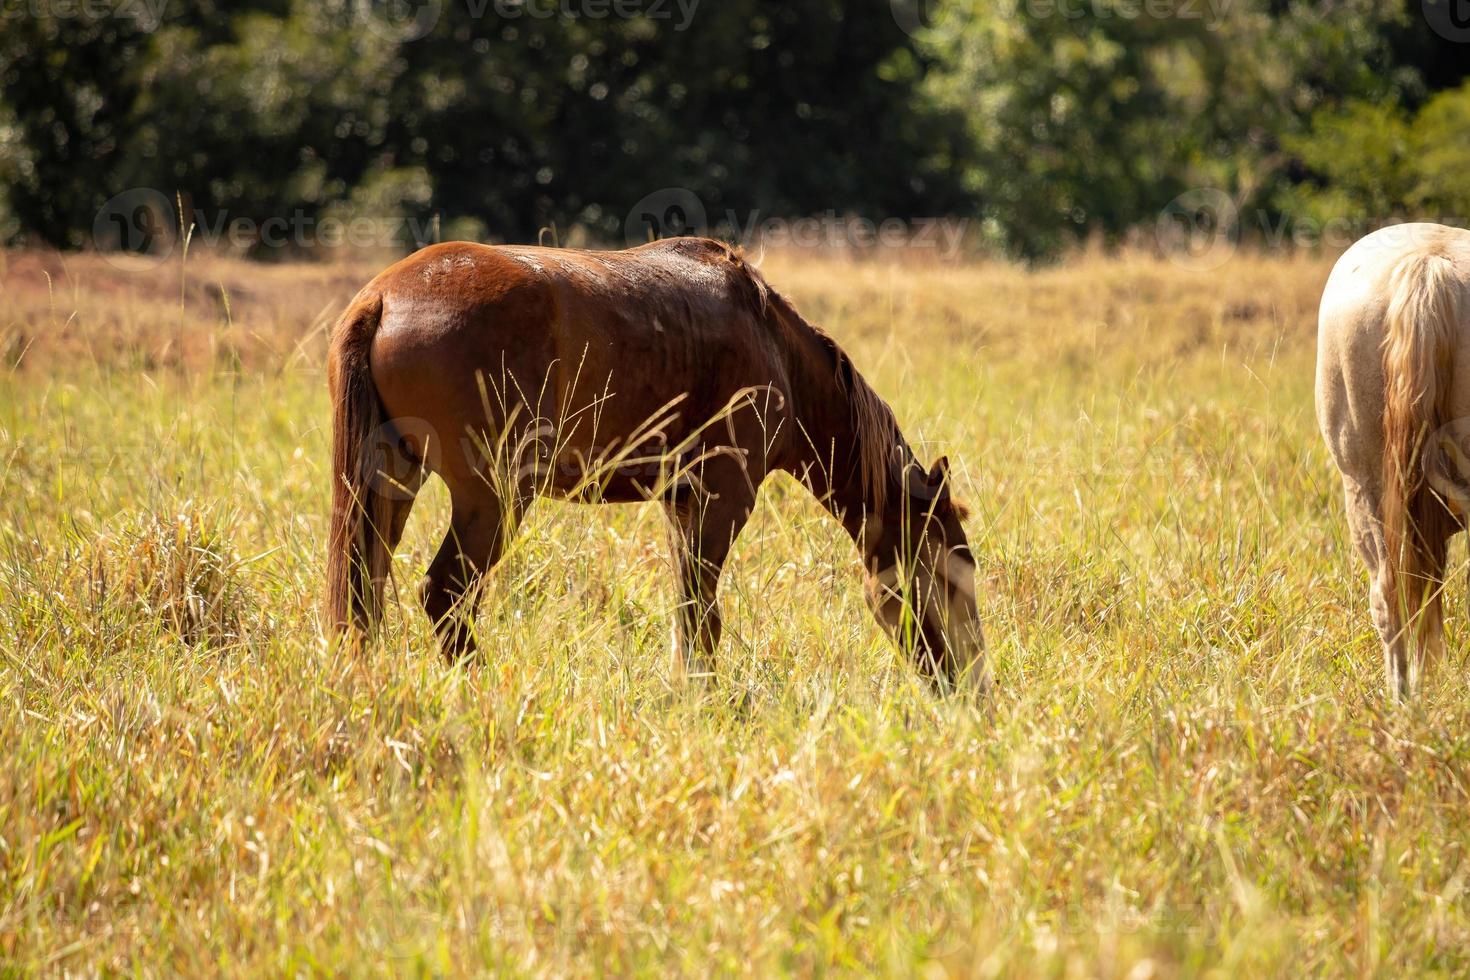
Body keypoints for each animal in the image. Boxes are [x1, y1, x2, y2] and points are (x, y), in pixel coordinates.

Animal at [324, 239, 987, 690]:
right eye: (952, 576)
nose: (974, 684)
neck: (772, 342)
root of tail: (382, 297)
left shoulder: (682, 502)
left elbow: (689, 612)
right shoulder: (724, 498)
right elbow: (701, 614)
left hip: (392, 485)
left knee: (366, 596)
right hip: (491, 500)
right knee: (445, 594)